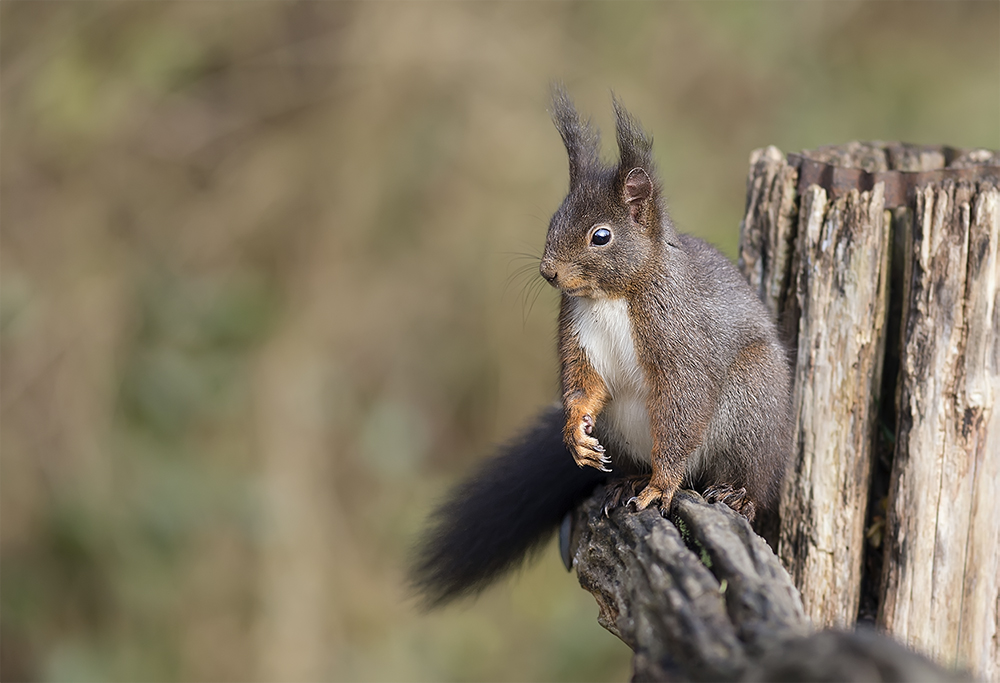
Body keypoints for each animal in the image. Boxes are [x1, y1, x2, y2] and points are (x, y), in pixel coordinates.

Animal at [406, 91, 788, 608]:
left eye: (600, 236)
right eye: (554, 219)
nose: (548, 271)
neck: (612, 294)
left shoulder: (680, 334)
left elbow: (682, 403)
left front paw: (661, 487)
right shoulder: (576, 335)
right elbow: (583, 384)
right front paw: (574, 432)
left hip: (752, 406)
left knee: (754, 477)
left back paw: (734, 494)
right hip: (620, 429)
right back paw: (626, 480)